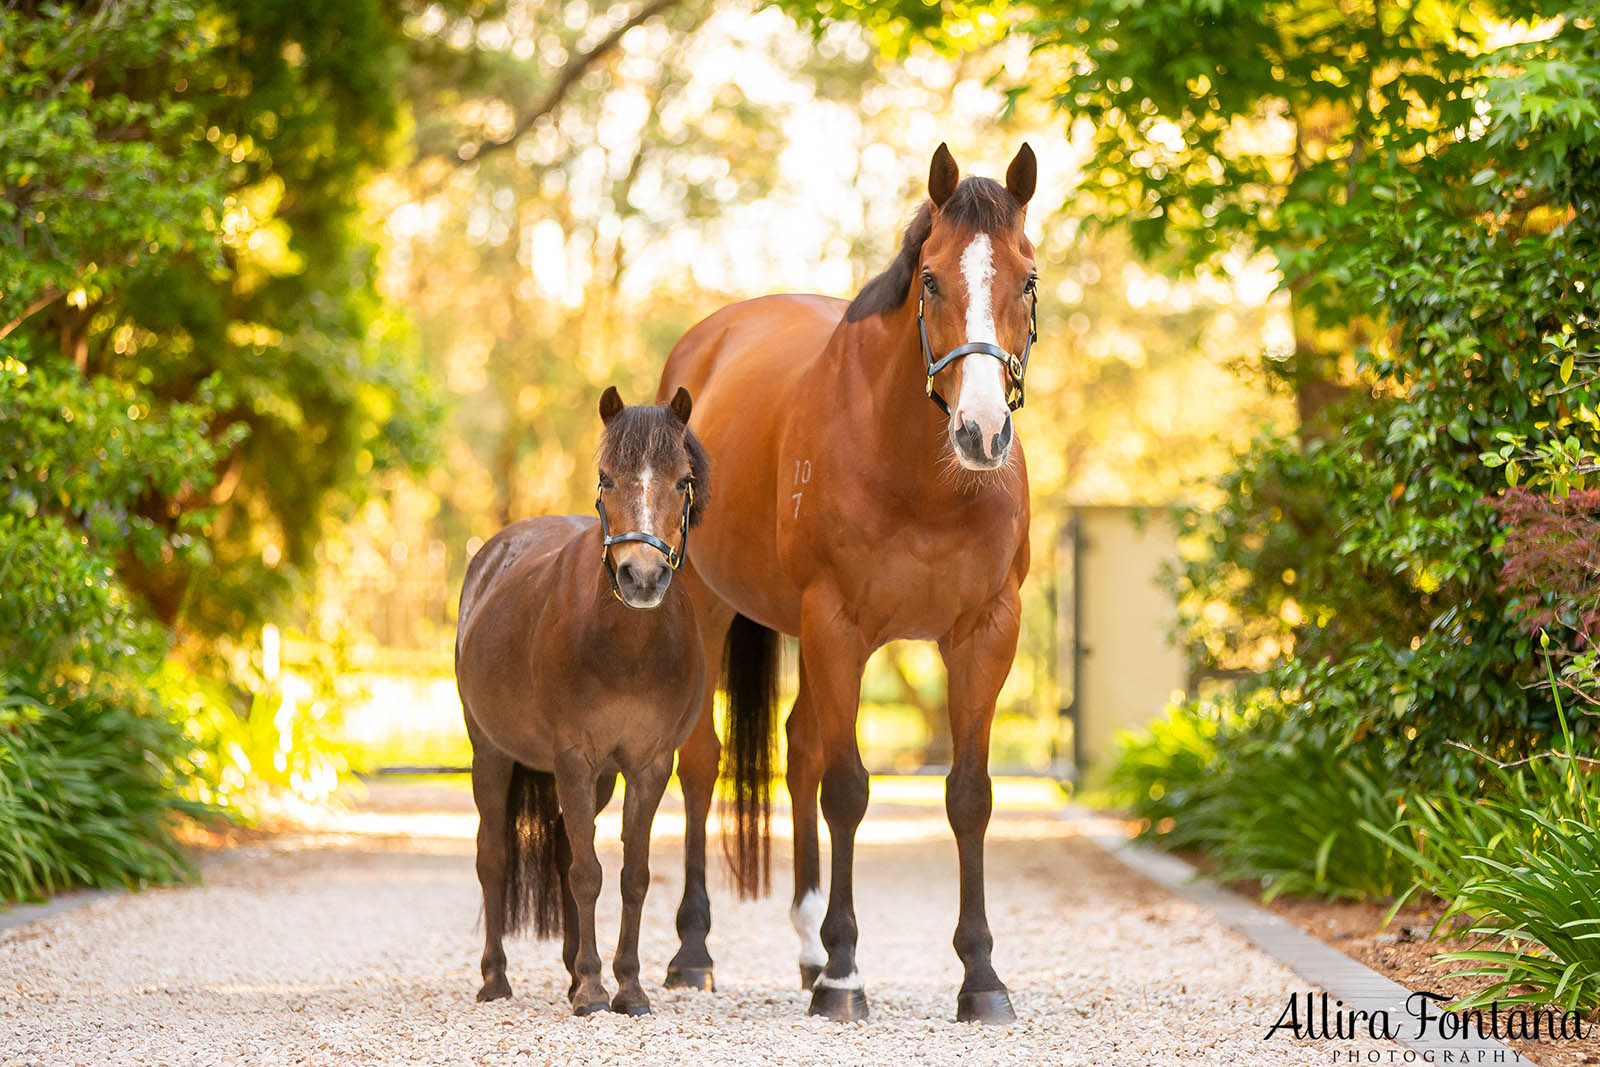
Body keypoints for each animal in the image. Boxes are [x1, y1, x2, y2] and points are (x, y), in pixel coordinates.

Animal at [460, 385, 716, 1017]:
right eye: (606, 479)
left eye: (682, 480)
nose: (641, 578)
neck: (628, 648)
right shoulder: (573, 759)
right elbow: (587, 874)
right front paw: (597, 990)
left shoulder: (648, 766)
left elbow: (631, 875)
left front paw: (626, 986)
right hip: (490, 754)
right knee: (492, 857)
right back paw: (495, 979)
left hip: (596, 779)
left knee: (560, 851)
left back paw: (573, 971)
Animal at [652, 146, 1036, 1023]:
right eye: (930, 278)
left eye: (1029, 279)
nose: (983, 431)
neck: (925, 474)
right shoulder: (837, 623)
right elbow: (849, 789)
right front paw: (846, 975)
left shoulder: (986, 632)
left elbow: (969, 794)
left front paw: (980, 976)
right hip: (707, 604)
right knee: (702, 760)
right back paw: (695, 952)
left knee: (798, 749)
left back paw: (805, 946)